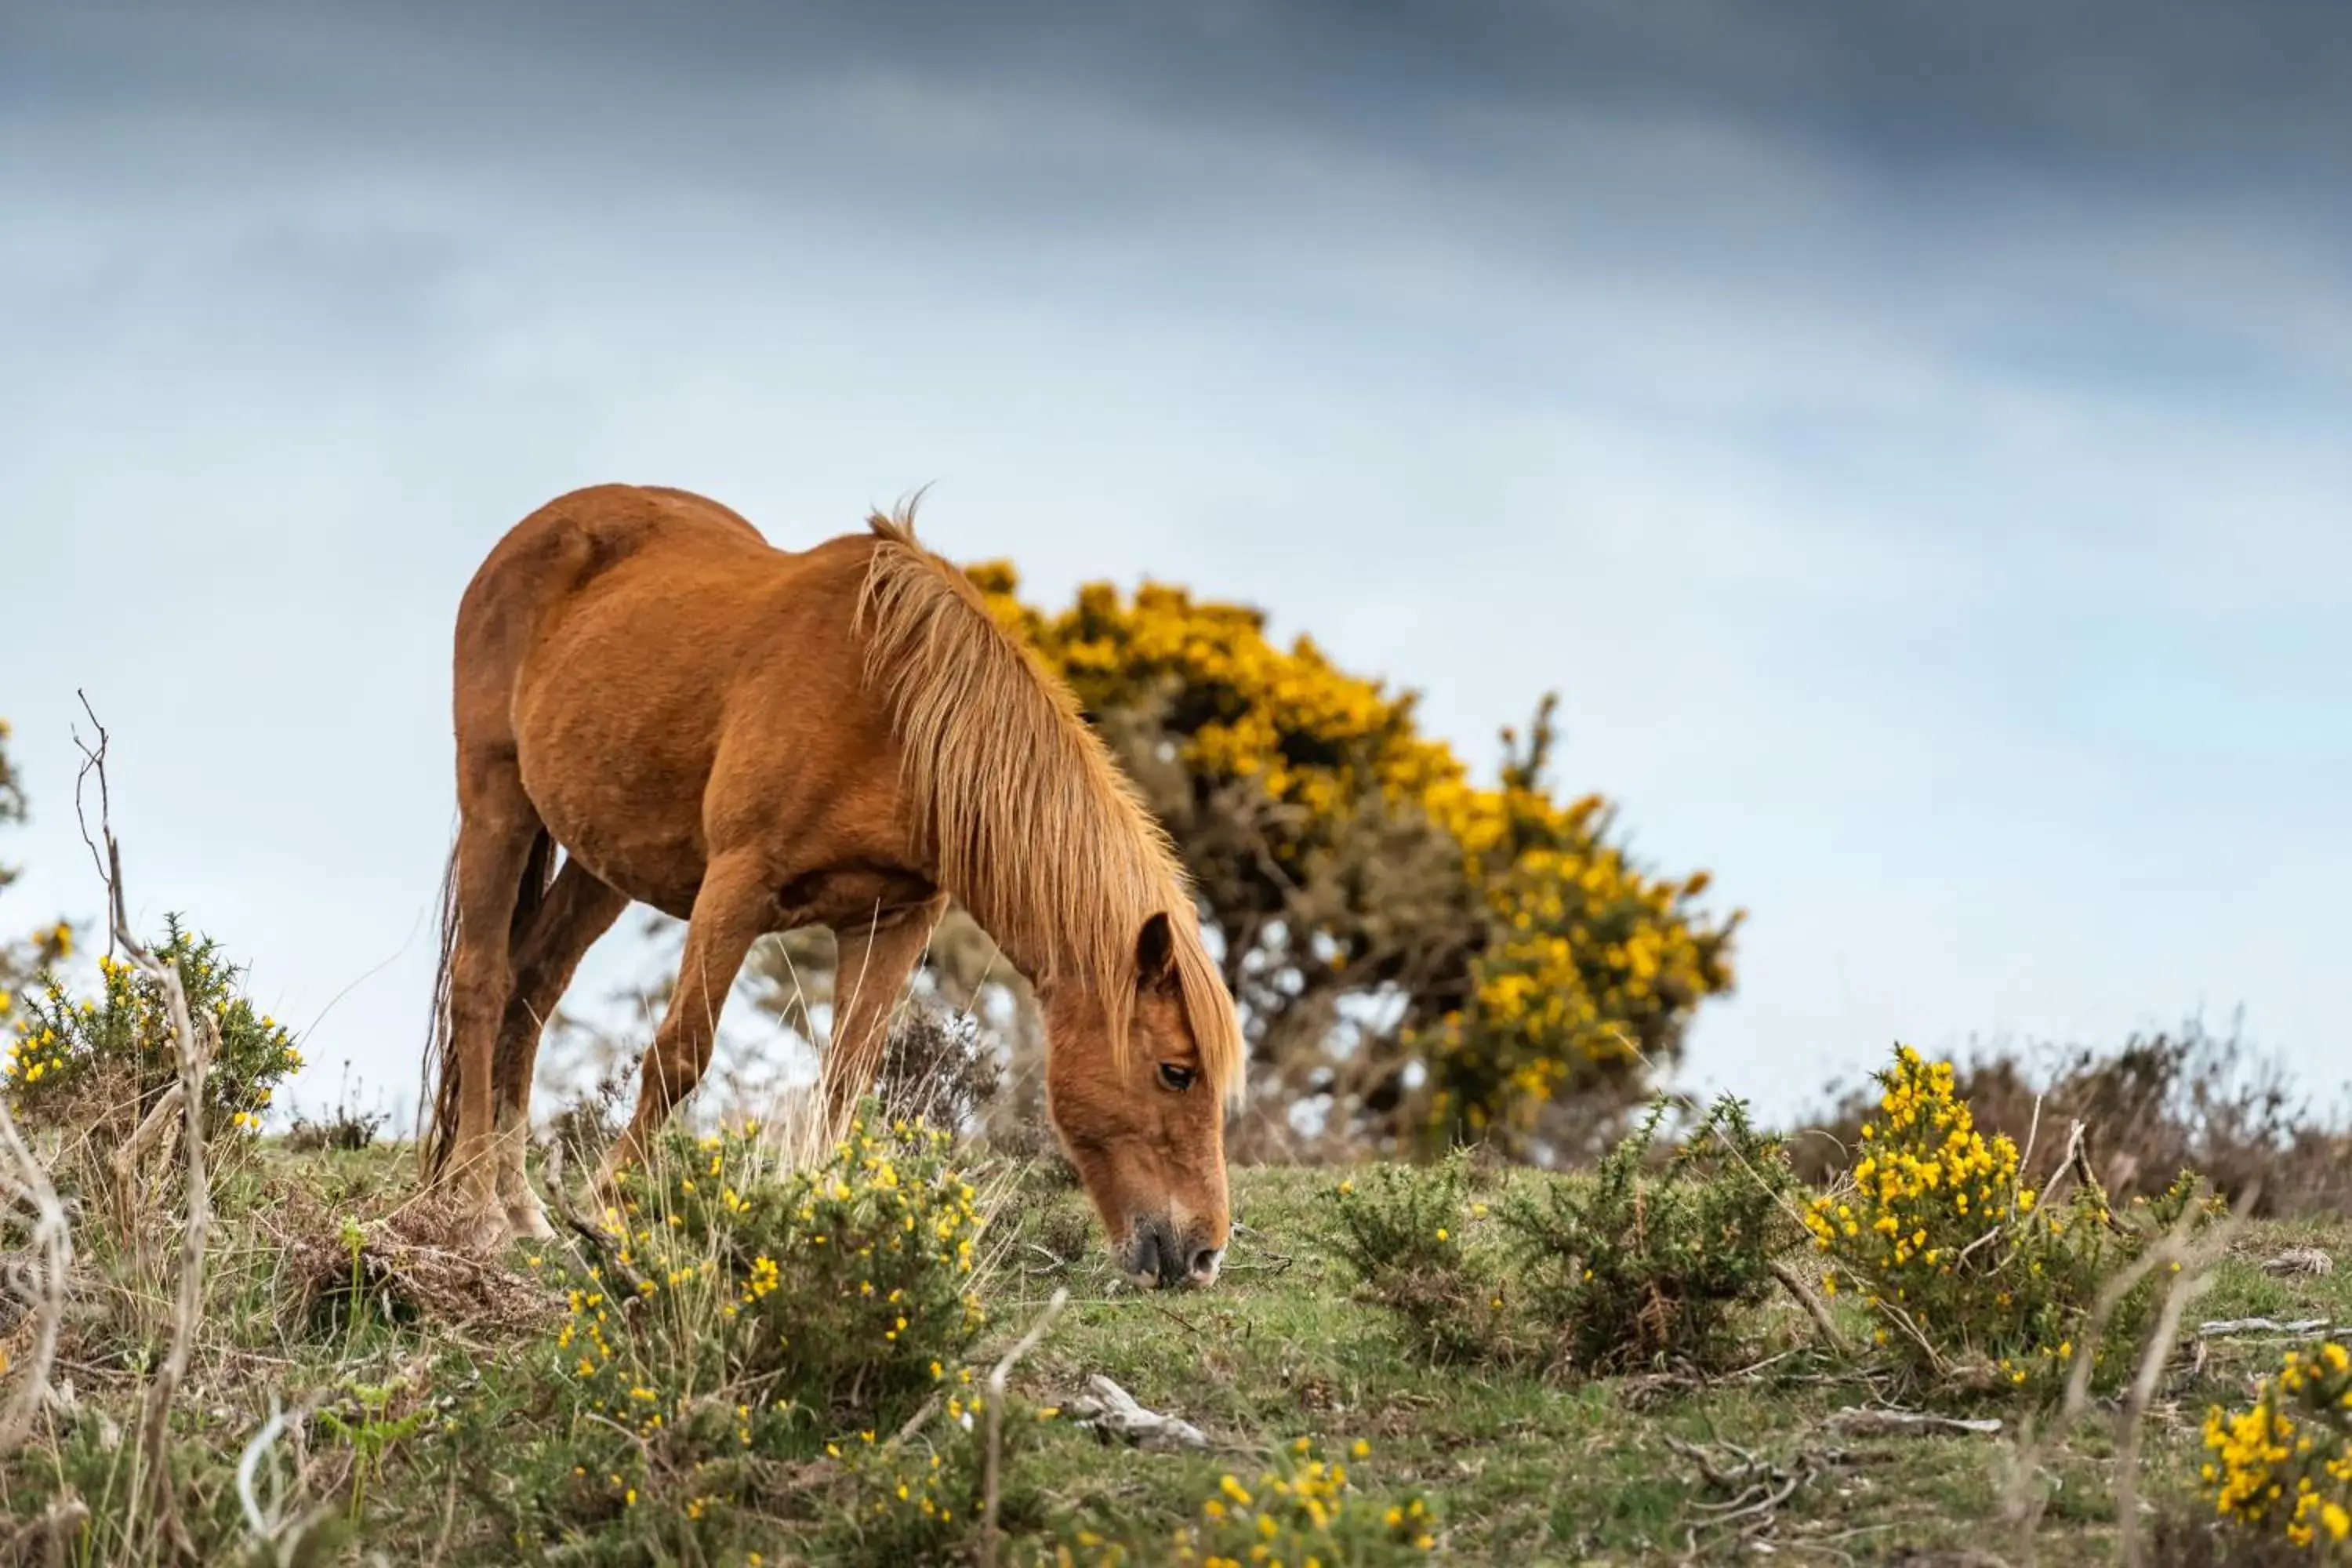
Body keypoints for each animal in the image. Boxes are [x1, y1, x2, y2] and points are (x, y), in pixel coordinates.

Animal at [419, 486, 1251, 1288]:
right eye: (1177, 1073)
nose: (1204, 1255)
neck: (894, 711)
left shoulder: (895, 919)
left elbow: (847, 1077)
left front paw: (817, 1223)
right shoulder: (736, 885)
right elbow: (681, 1053)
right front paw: (610, 1214)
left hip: (601, 863)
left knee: (535, 985)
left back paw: (522, 1210)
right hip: (498, 798)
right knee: (483, 983)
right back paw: (475, 1211)